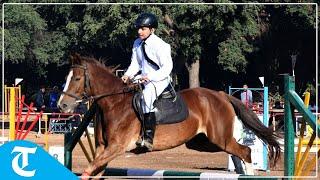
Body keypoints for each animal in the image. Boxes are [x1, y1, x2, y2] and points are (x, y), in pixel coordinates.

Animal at [57, 53, 280, 177]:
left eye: (77, 78)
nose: (62, 105)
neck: (114, 103)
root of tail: (220, 95)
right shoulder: (103, 149)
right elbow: (95, 169)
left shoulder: (117, 147)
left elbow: (89, 169)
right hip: (203, 142)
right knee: (238, 152)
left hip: (219, 139)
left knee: (245, 151)